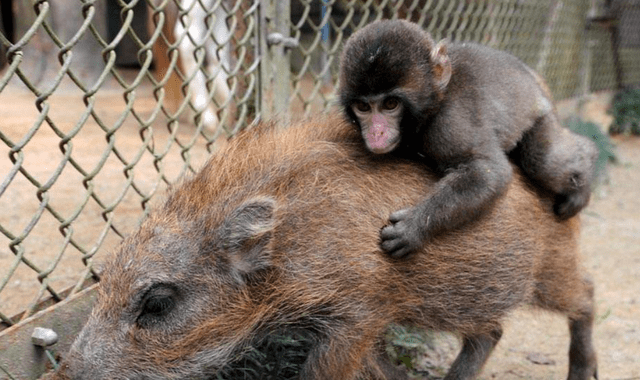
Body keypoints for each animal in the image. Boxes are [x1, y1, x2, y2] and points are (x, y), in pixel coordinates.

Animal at [340, 20, 600, 258]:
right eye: (363, 107)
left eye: (390, 104)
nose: (376, 133)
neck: (435, 103)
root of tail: (535, 80)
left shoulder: (449, 125)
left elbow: (489, 172)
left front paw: (414, 226)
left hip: (541, 114)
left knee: (542, 161)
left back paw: (587, 162)